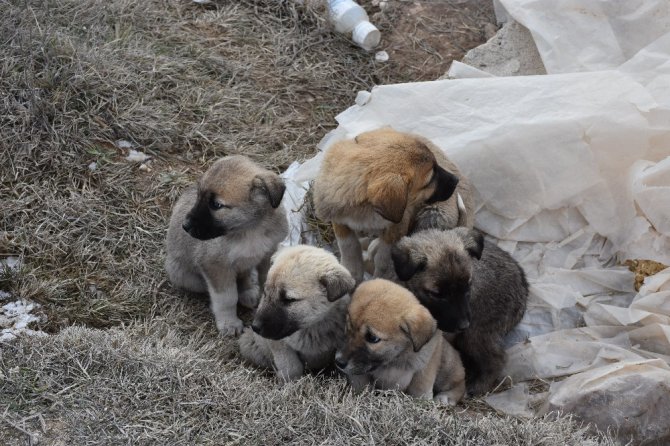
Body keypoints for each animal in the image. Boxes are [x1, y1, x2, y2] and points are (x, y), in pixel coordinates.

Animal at [166, 155, 288, 336]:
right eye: (198, 196)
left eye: (216, 205)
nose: (185, 226)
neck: (250, 229)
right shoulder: (216, 266)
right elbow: (227, 298)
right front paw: (228, 323)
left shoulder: (267, 256)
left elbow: (265, 281)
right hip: (183, 275)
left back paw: (247, 292)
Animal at [240, 246, 360, 382]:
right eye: (266, 293)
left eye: (289, 299)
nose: (255, 327)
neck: (313, 327)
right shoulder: (279, 345)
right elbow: (292, 368)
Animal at [314, 127, 476, 284]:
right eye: (430, 180)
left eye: (437, 165)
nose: (456, 180)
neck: (367, 211)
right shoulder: (339, 219)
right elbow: (349, 247)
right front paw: (352, 272)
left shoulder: (398, 227)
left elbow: (383, 259)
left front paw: (379, 278)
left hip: (433, 215)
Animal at [336, 278, 468, 404]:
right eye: (348, 327)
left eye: (372, 338)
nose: (338, 362)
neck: (396, 358)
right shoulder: (361, 372)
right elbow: (361, 383)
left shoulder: (426, 365)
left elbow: (420, 387)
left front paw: (421, 403)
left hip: (446, 365)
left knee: (460, 383)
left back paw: (446, 397)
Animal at [394, 228, 532, 396]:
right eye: (437, 294)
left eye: (468, 285)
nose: (464, 325)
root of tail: (523, 288)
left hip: (476, 333)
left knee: (497, 359)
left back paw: (478, 386)